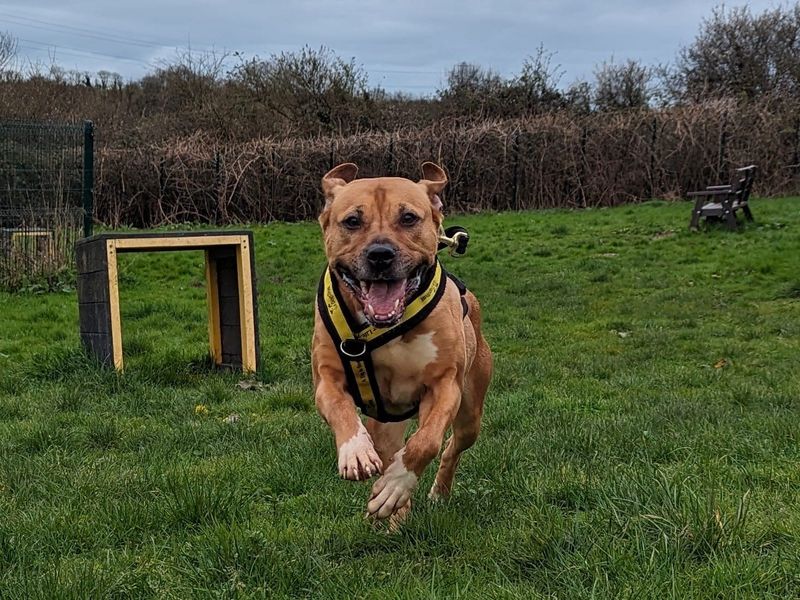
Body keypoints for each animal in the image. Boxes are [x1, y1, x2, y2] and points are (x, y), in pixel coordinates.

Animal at [314, 162, 494, 524]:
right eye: (352, 221)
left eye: (409, 218)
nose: (380, 254)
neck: (388, 327)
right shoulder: (326, 377)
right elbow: (339, 407)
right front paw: (355, 452)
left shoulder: (444, 385)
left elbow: (426, 443)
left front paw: (398, 483)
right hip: (385, 423)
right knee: (388, 450)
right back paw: (392, 508)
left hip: (471, 411)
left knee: (451, 446)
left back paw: (427, 492)